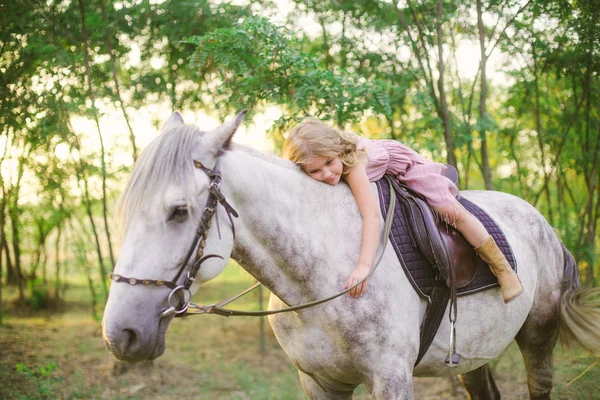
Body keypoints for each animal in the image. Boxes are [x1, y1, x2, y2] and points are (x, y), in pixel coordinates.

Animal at [103, 112, 600, 400]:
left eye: (178, 211)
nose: (120, 334)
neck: (318, 275)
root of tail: (543, 225)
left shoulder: (392, 379)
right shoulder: (318, 381)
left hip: (537, 336)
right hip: (475, 354)